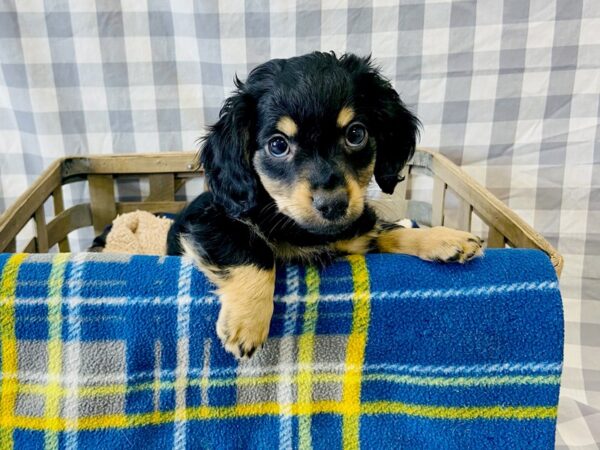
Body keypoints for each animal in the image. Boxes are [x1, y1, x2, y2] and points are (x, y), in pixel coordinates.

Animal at [168, 51, 482, 358]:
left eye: (356, 134)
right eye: (278, 145)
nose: (333, 205)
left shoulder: (358, 233)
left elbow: (390, 230)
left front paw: (444, 238)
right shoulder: (207, 222)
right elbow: (252, 250)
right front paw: (247, 322)